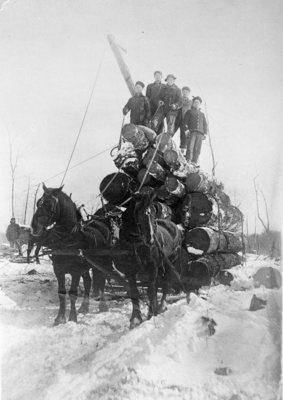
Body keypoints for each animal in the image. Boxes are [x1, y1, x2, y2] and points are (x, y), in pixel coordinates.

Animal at [31, 184, 112, 324]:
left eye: (49, 204)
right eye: (38, 202)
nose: (34, 227)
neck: (68, 238)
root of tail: (101, 225)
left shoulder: (75, 271)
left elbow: (73, 294)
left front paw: (72, 318)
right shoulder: (58, 270)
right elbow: (61, 293)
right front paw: (59, 318)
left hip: (102, 263)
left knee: (101, 282)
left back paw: (103, 306)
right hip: (86, 267)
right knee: (88, 282)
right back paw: (84, 307)